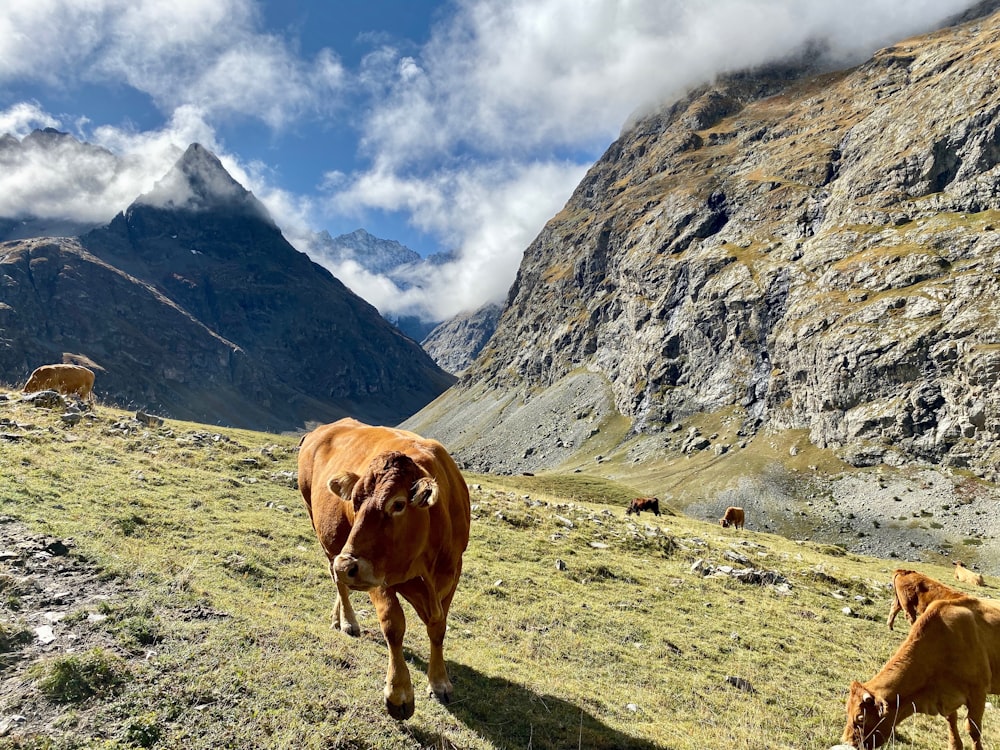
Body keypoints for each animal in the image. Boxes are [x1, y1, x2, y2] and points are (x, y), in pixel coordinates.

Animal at [294, 420, 470, 720]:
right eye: (354, 502)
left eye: (398, 504)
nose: (346, 565)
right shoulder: (375, 575)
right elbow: (393, 625)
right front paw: (399, 693)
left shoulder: (453, 571)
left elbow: (438, 628)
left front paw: (439, 683)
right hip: (320, 528)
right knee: (338, 582)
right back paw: (348, 621)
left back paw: (337, 615)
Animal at [844, 600, 1000, 750]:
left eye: (860, 717)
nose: (847, 742)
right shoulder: (946, 696)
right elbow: (951, 722)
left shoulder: (978, 692)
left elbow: (973, 729)